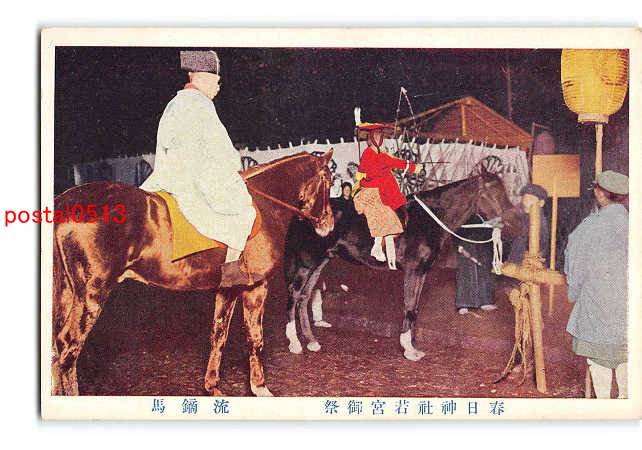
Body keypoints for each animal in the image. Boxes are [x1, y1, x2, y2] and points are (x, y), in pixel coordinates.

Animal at [51, 151, 334, 396]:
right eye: (329, 181)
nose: (328, 224)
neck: (264, 205)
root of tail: (63, 202)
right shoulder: (256, 286)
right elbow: (255, 338)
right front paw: (260, 387)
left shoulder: (228, 288)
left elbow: (218, 335)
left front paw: (212, 386)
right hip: (92, 293)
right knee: (68, 348)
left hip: (66, 293)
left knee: (56, 348)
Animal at [283, 168, 522, 360]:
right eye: (493, 192)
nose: (516, 223)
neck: (428, 219)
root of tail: (302, 213)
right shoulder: (413, 270)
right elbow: (408, 306)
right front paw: (408, 349)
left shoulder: (421, 273)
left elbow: (414, 307)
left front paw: (412, 346)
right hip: (306, 263)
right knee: (294, 296)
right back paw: (295, 344)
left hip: (320, 262)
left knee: (304, 298)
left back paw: (312, 342)